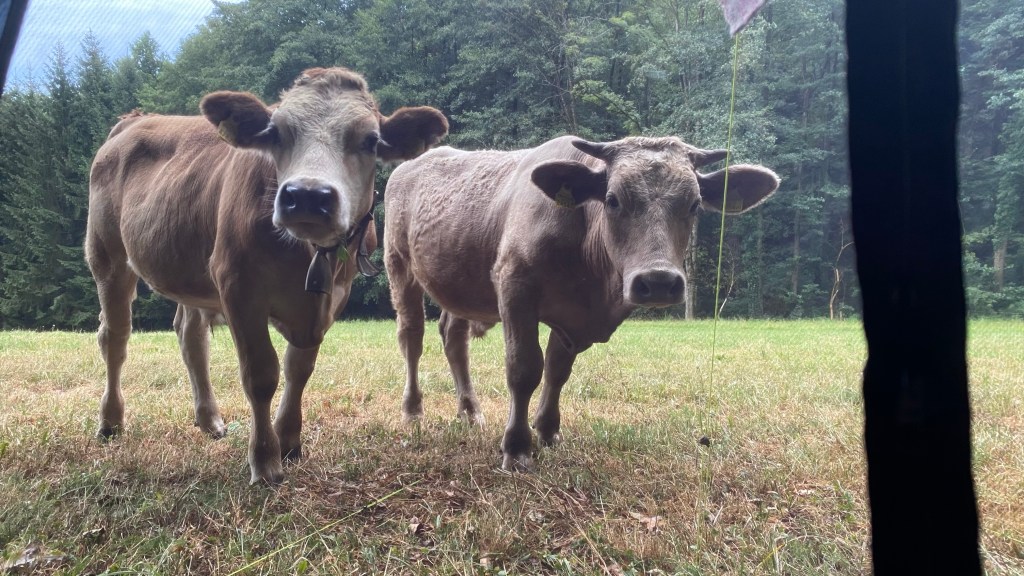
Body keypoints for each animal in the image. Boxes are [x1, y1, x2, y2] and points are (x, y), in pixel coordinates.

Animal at [86, 67, 448, 484]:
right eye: (275, 133)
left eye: (370, 140)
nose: (307, 195)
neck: (308, 253)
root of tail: (134, 120)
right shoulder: (238, 287)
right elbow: (261, 376)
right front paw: (265, 459)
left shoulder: (330, 298)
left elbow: (299, 369)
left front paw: (289, 440)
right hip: (107, 255)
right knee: (114, 337)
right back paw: (111, 422)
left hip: (190, 270)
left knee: (190, 336)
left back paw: (209, 420)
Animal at [384, 135, 779, 470]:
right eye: (613, 199)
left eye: (695, 204)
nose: (658, 281)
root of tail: (410, 165)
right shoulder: (514, 287)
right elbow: (524, 368)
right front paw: (517, 446)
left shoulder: (574, 317)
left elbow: (558, 370)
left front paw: (548, 430)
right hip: (399, 265)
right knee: (411, 337)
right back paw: (413, 411)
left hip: (460, 284)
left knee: (454, 338)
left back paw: (469, 411)